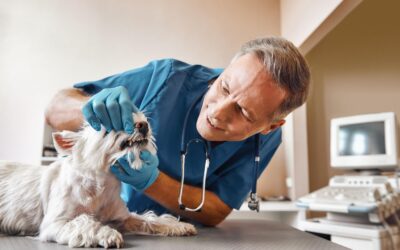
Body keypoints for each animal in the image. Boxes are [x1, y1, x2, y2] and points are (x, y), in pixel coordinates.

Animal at [0, 112, 196, 248]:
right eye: (108, 128)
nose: (143, 124)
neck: (103, 185)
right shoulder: (55, 223)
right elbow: (84, 222)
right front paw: (106, 234)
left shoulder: (123, 217)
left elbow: (149, 219)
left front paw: (178, 226)